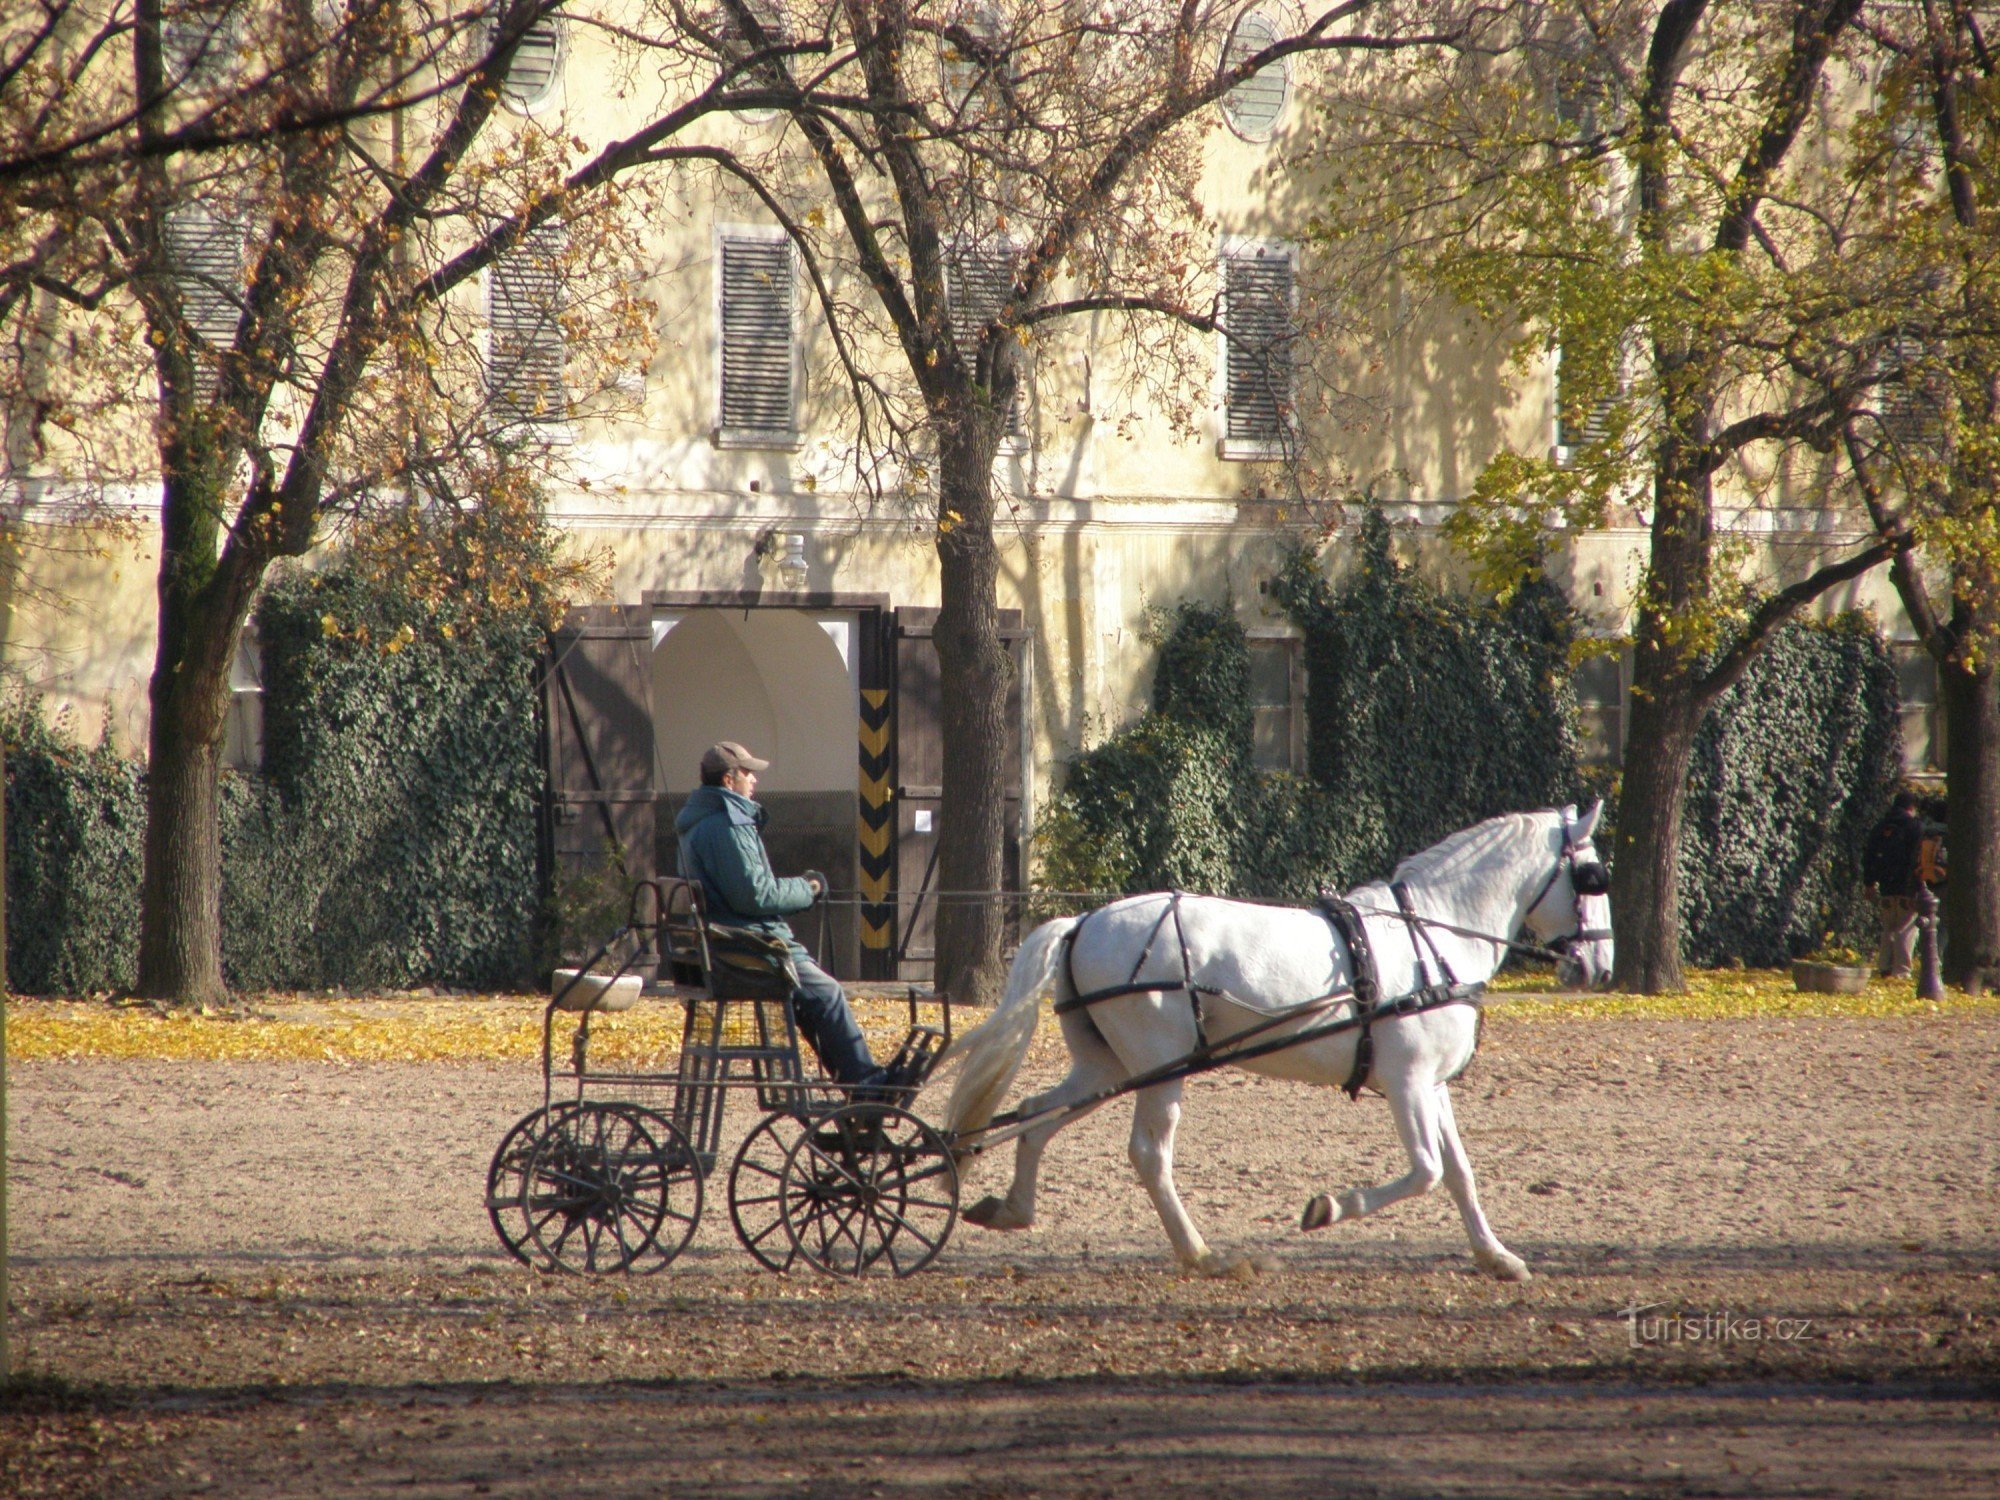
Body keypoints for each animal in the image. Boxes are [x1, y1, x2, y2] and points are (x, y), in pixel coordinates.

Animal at [936, 804, 1608, 1288]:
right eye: (1592, 876)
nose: (1598, 966)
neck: (1430, 940)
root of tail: (1082, 922)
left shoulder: (1433, 1084)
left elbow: (1460, 1174)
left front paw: (1497, 1257)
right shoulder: (1408, 1081)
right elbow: (1426, 1170)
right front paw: (1329, 1207)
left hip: (1107, 1066)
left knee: (1034, 1117)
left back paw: (1013, 1209)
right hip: (1160, 1067)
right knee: (1148, 1154)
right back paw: (1202, 1254)